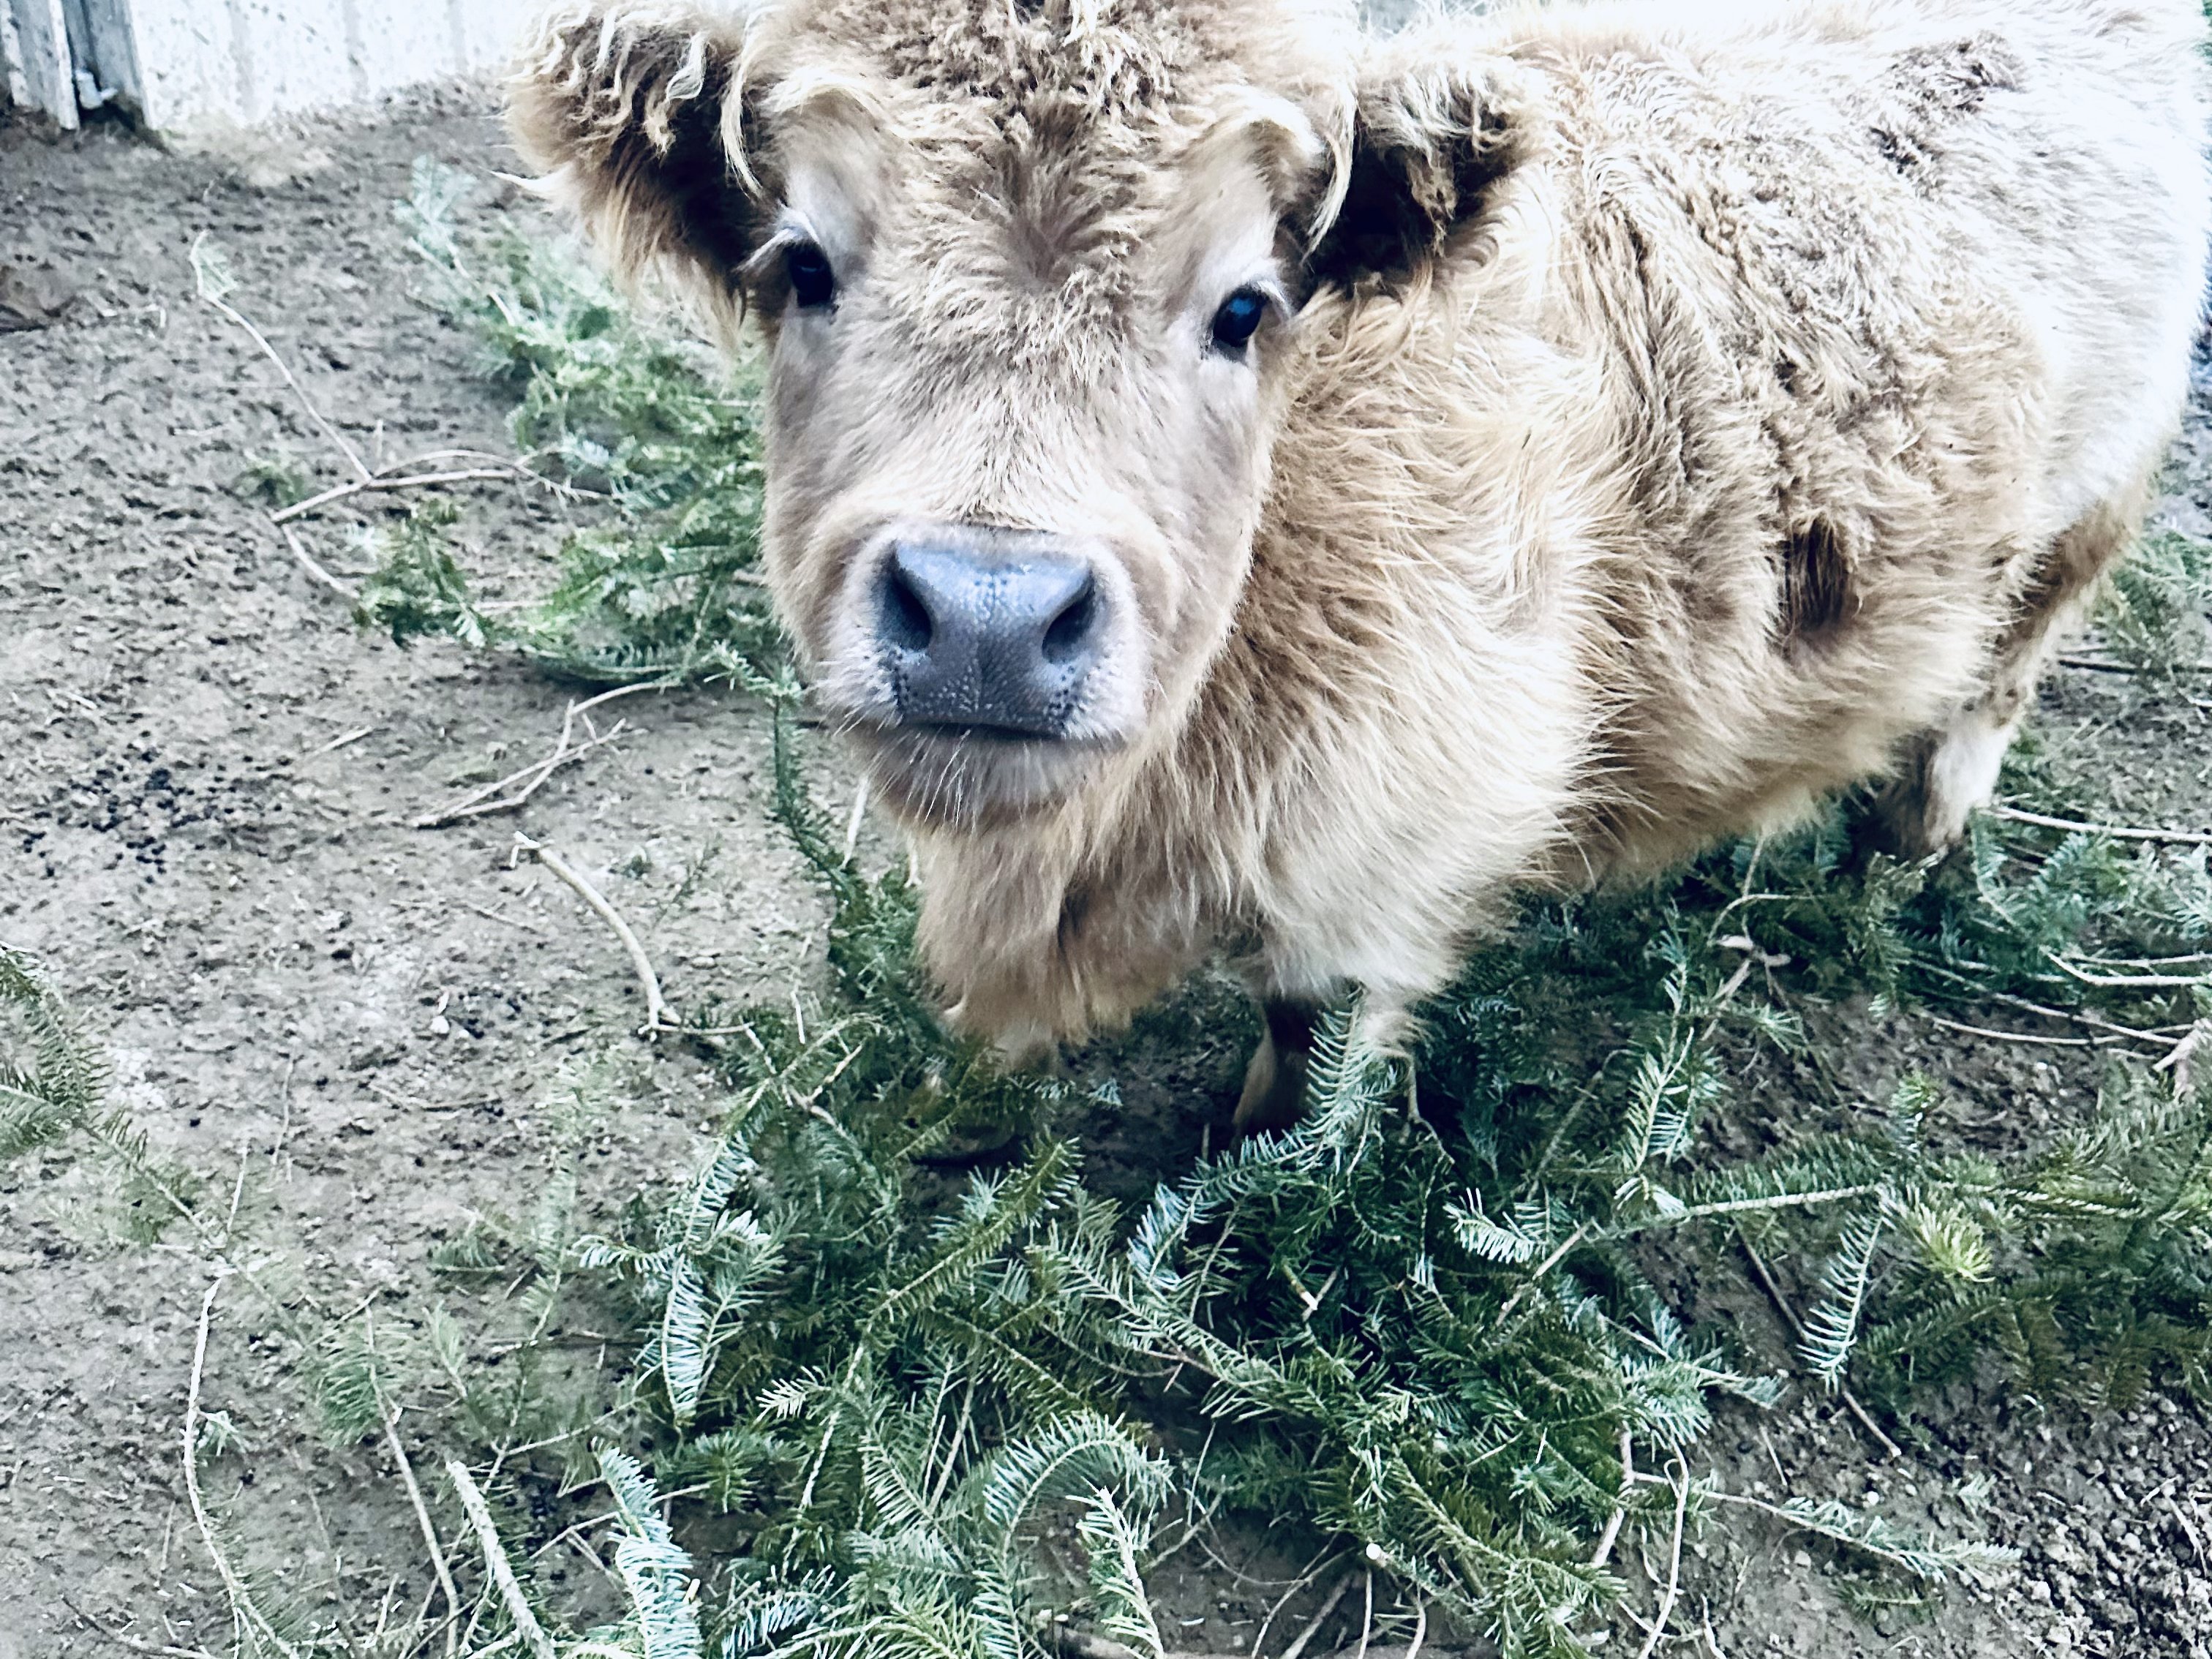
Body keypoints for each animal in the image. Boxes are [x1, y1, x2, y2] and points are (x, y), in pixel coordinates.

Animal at [511, 0, 2212, 1129]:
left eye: (1243, 306)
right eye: (802, 265)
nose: (989, 619)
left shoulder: (1380, 853)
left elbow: (1302, 1045)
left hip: (2090, 499)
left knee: (2001, 667)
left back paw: (1899, 849)